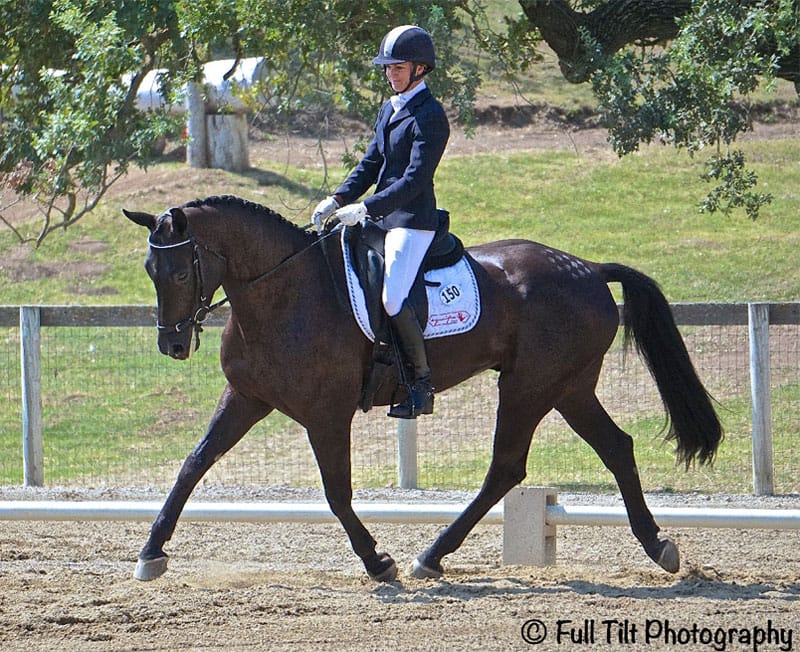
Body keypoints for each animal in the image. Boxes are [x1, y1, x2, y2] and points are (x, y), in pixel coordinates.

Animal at [123, 194, 722, 582]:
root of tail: (589, 269)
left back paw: (429, 555)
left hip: (531, 386)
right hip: (568, 387)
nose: (172, 345)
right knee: (615, 447)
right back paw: (658, 546)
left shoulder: (326, 413)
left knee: (507, 467)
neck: (282, 293)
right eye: (151, 269)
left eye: (180, 273)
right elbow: (194, 463)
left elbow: (336, 493)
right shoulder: (247, 398)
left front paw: (378, 562)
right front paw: (151, 552)